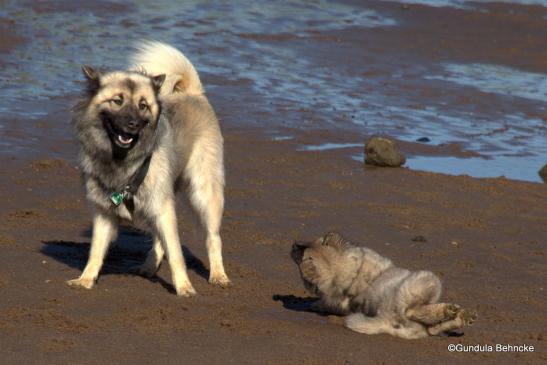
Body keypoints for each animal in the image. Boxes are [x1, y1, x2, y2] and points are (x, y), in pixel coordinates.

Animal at [69, 41, 231, 294]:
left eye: (143, 105)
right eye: (117, 100)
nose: (133, 124)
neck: (123, 160)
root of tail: (194, 93)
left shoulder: (163, 208)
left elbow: (176, 252)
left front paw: (184, 287)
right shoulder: (105, 212)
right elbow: (95, 251)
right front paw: (86, 279)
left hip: (203, 193)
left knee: (212, 237)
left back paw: (218, 274)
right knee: (158, 241)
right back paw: (148, 266)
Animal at [294, 232, 478, 336]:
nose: (294, 244)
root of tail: (385, 321)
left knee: (433, 326)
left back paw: (461, 316)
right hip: (428, 279)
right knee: (415, 312)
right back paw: (453, 311)